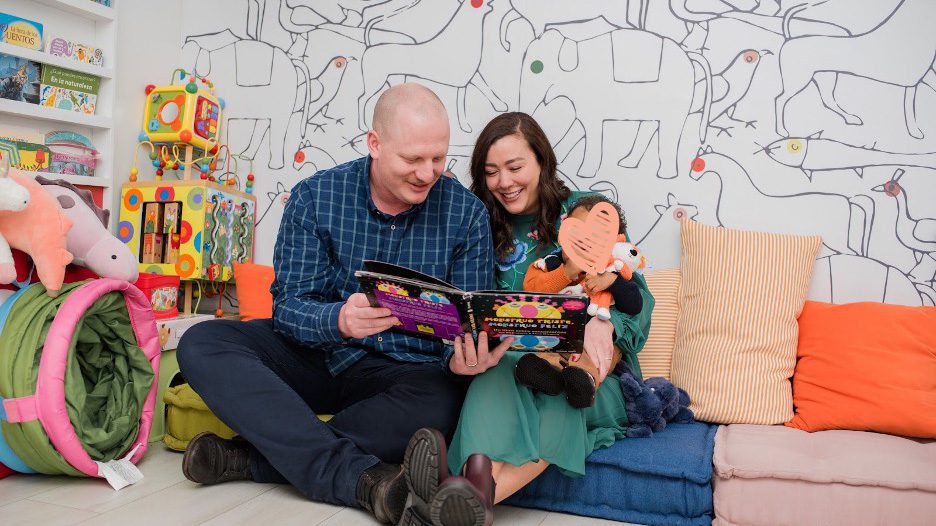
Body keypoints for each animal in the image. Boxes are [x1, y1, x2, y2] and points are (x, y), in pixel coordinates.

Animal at [520, 29, 704, 182]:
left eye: (536, 67)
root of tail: (689, 56)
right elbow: (579, 128)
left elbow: (590, 130)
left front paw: (584, 174)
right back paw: (627, 163)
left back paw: (665, 176)